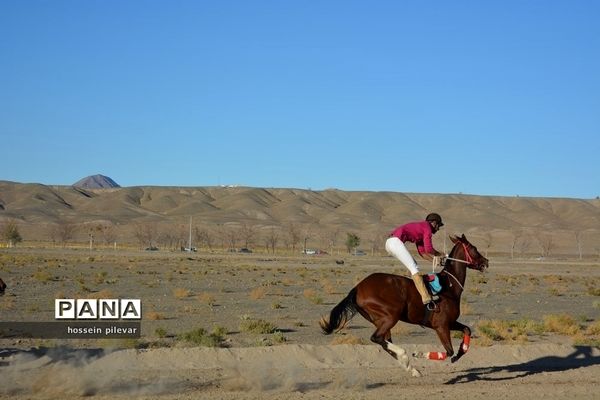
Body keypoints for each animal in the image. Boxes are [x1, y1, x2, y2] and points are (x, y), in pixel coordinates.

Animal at [318, 234, 488, 376]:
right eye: (474, 248)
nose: (486, 262)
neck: (449, 286)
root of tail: (357, 288)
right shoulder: (441, 326)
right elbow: (448, 351)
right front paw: (419, 354)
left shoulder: (450, 322)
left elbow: (466, 330)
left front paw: (460, 352)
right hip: (391, 315)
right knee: (376, 338)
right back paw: (405, 356)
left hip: (380, 320)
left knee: (384, 341)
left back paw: (411, 367)